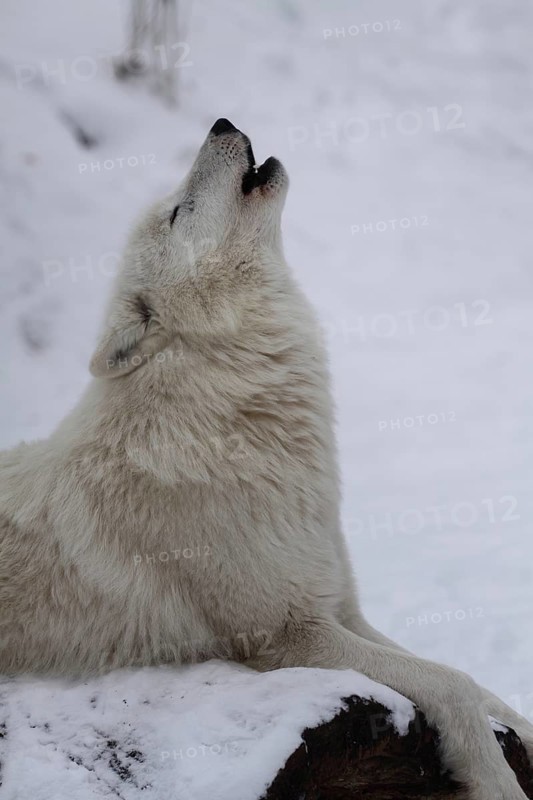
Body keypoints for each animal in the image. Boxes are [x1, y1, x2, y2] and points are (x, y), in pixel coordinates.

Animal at [0, 118, 532, 798]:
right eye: (178, 213)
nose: (222, 123)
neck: (237, 415)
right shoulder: (288, 633)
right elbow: (454, 683)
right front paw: (497, 781)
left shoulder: (340, 606)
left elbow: (481, 686)